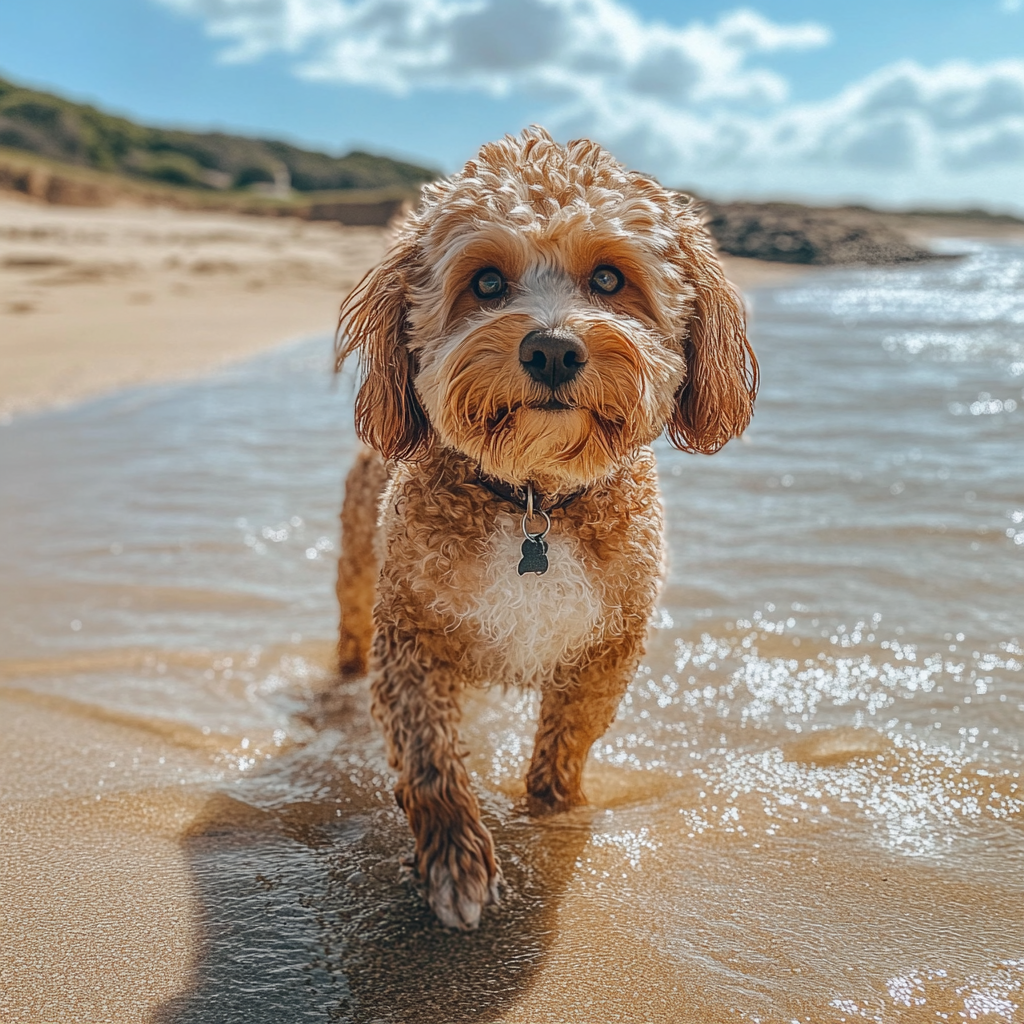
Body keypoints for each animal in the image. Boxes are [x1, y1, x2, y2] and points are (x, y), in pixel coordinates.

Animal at [331, 125, 757, 929]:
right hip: (355, 571)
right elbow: (431, 758)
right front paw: (455, 861)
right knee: (347, 634)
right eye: (487, 283)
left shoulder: (606, 650)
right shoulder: (410, 638)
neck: (534, 501)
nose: (553, 349)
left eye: (610, 279)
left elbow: (566, 747)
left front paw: (554, 814)